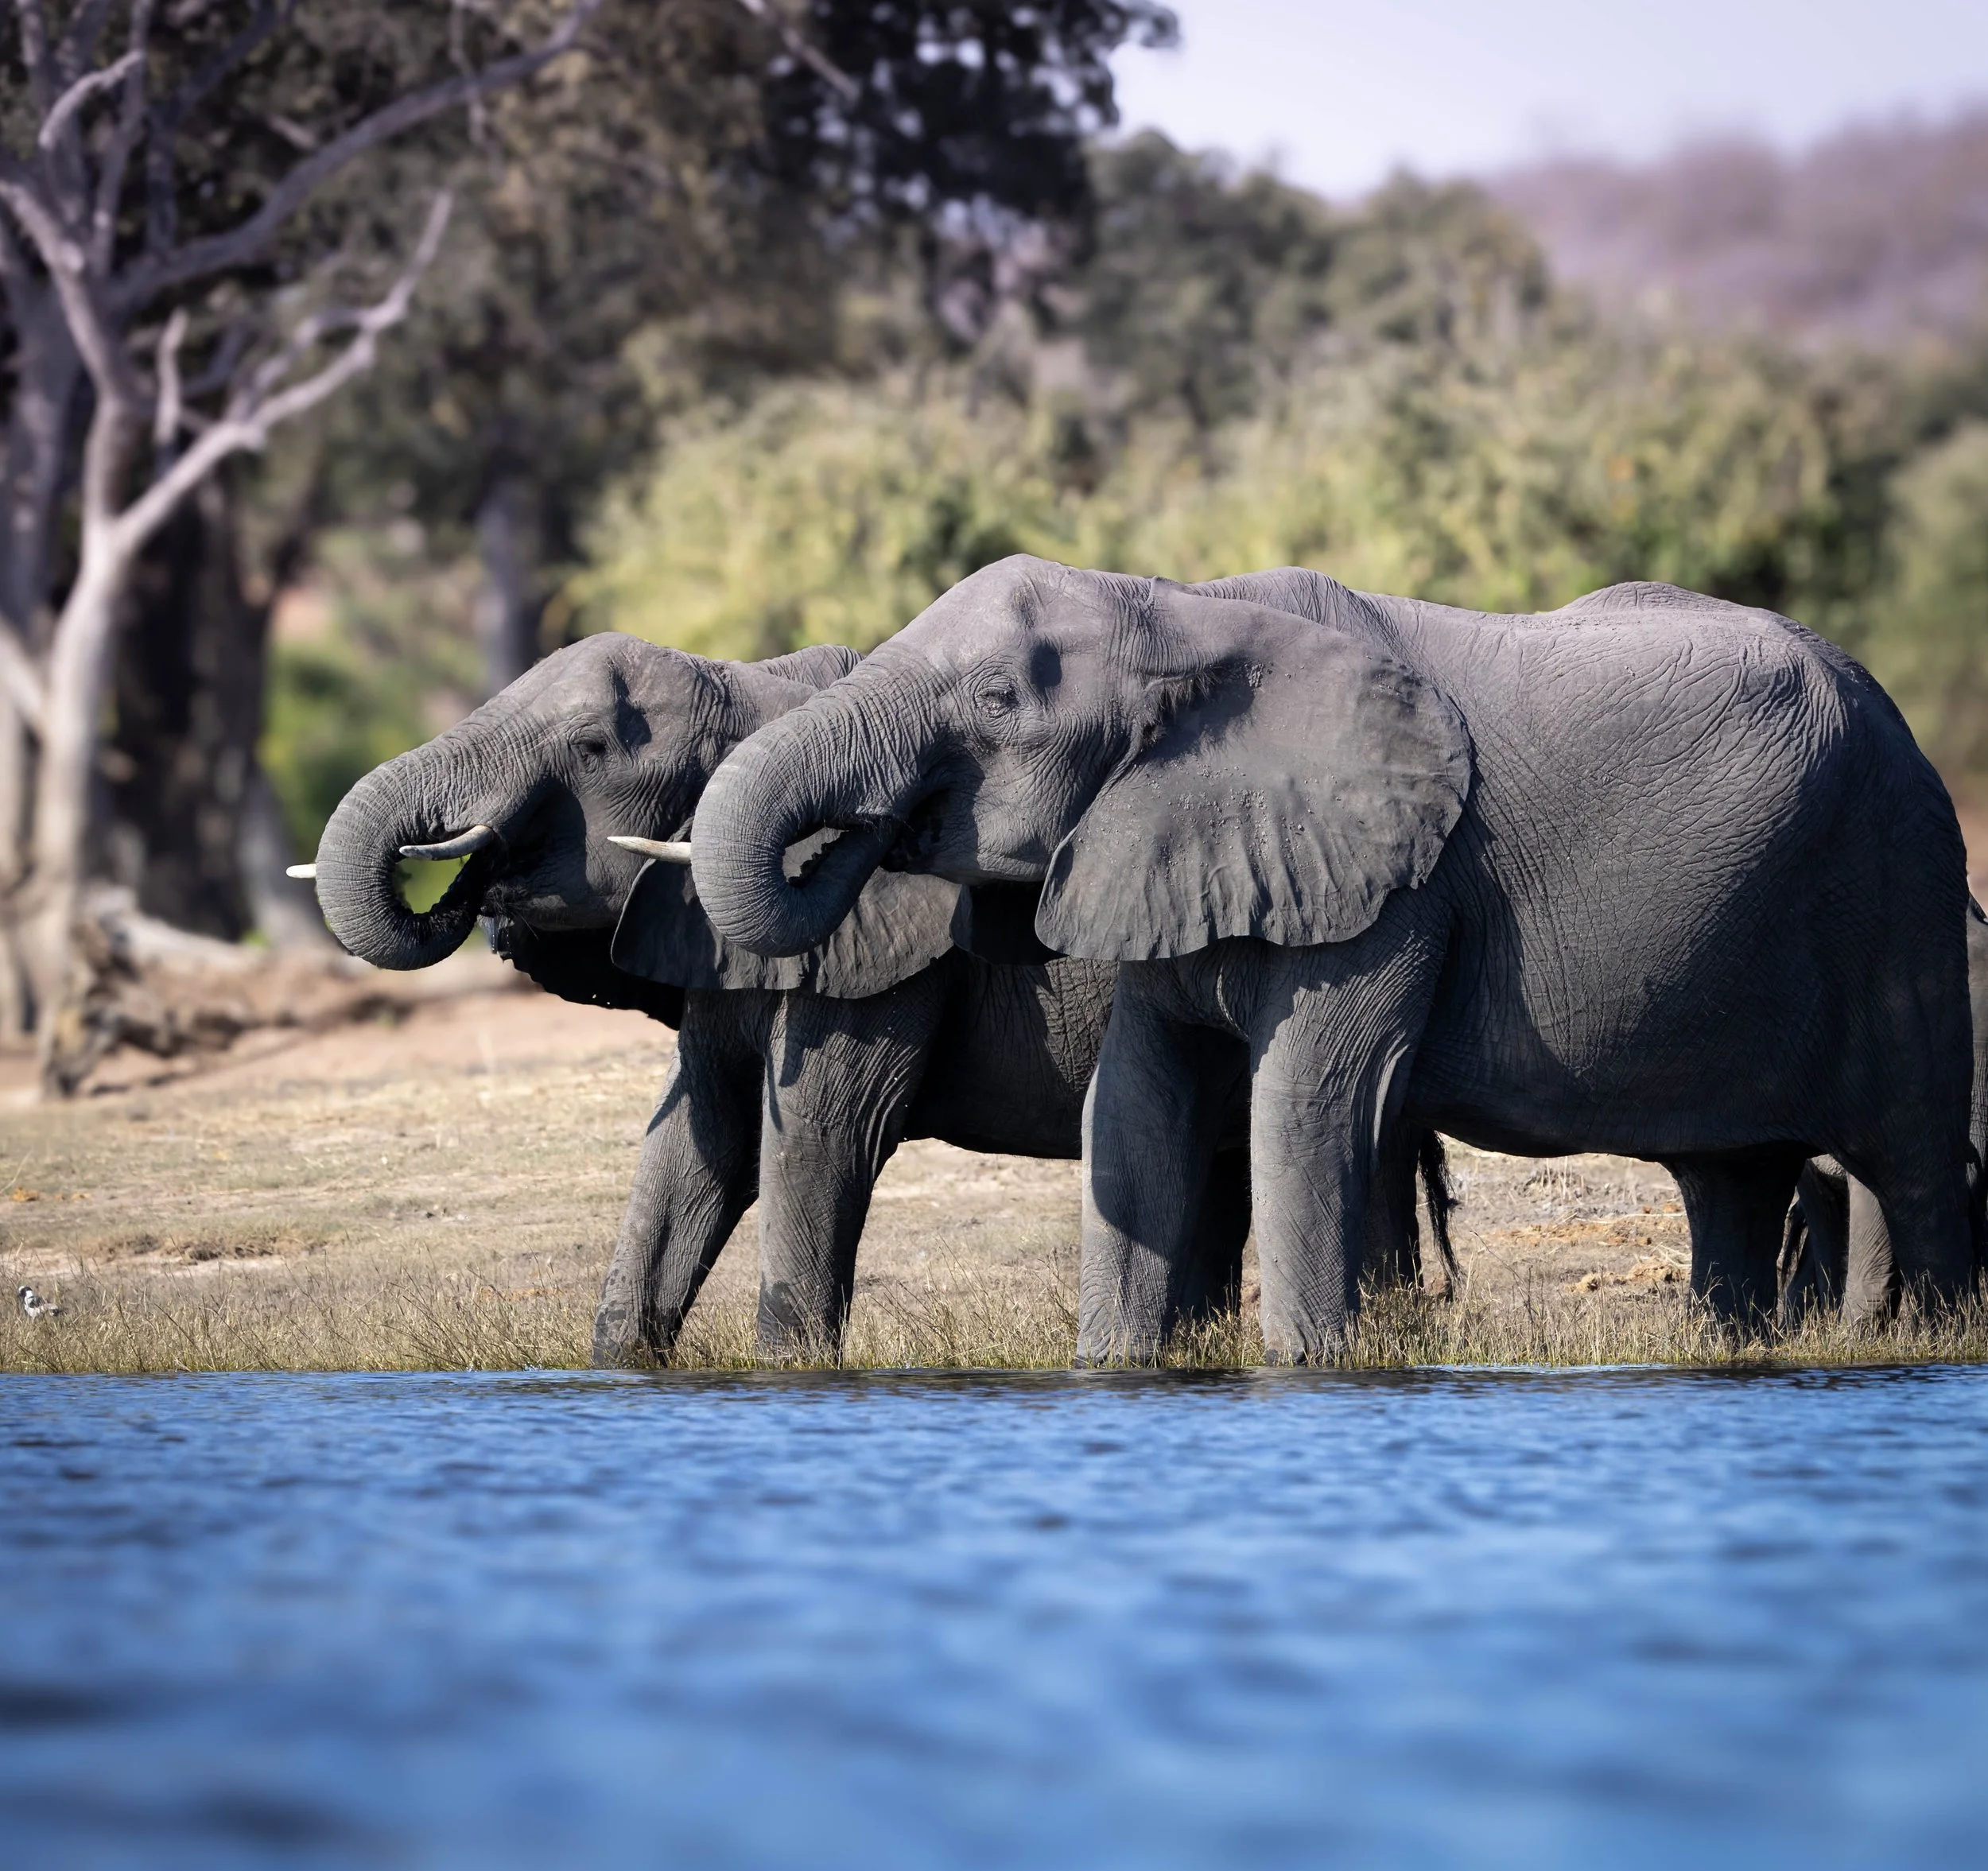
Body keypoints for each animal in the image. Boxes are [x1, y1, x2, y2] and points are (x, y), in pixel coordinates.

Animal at [308, 630, 1263, 1363]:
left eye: (590, 747)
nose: (472, 877)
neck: (757, 691)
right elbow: (697, 1139)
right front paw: (620, 1367)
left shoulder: (878, 950)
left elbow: (819, 1136)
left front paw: (790, 1373)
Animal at [686, 555, 1975, 1363]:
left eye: (999, 698)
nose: (865, 833)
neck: (1176, 607)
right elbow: (1137, 1103)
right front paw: (1114, 1369)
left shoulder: (1395, 886)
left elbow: (1310, 1103)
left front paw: (1306, 1369)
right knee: (1731, 1177)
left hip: (1899, 882)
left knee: (1915, 1162)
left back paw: (1936, 1343)